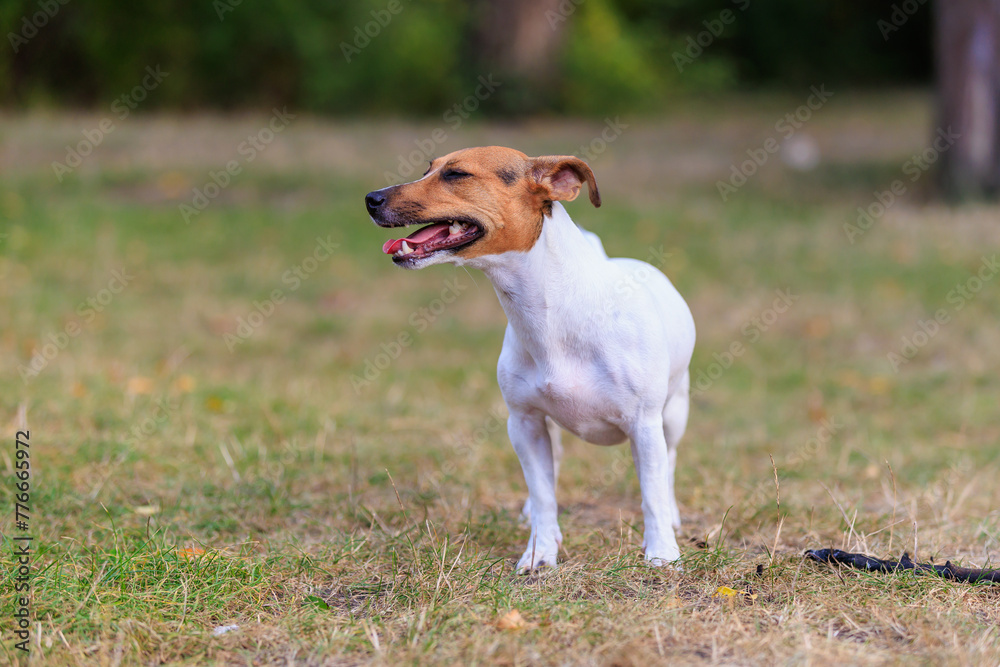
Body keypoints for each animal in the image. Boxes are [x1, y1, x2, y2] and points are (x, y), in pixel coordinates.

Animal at [366, 149, 696, 572]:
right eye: (428, 169)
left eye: (456, 174)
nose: (371, 198)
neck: (553, 314)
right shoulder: (524, 424)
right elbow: (542, 494)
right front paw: (541, 551)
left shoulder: (644, 423)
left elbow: (651, 492)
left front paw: (662, 552)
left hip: (673, 415)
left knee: (668, 464)